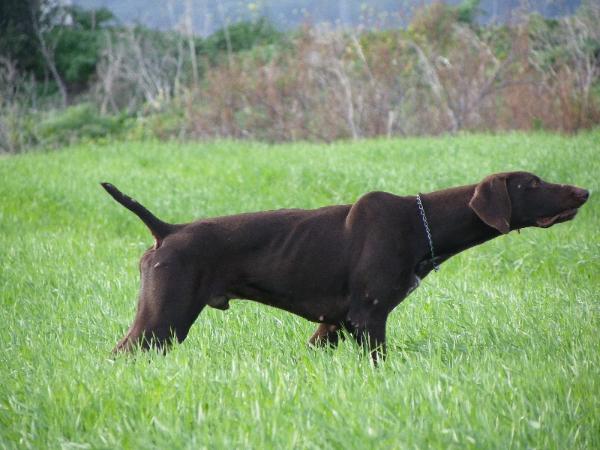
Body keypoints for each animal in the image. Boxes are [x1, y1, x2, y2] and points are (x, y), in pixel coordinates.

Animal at [101, 171, 588, 358]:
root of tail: (166, 230)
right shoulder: (368, 318)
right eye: (532, 183)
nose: (584, 191)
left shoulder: (332, 325)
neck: (421, 224)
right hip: (161, 321)